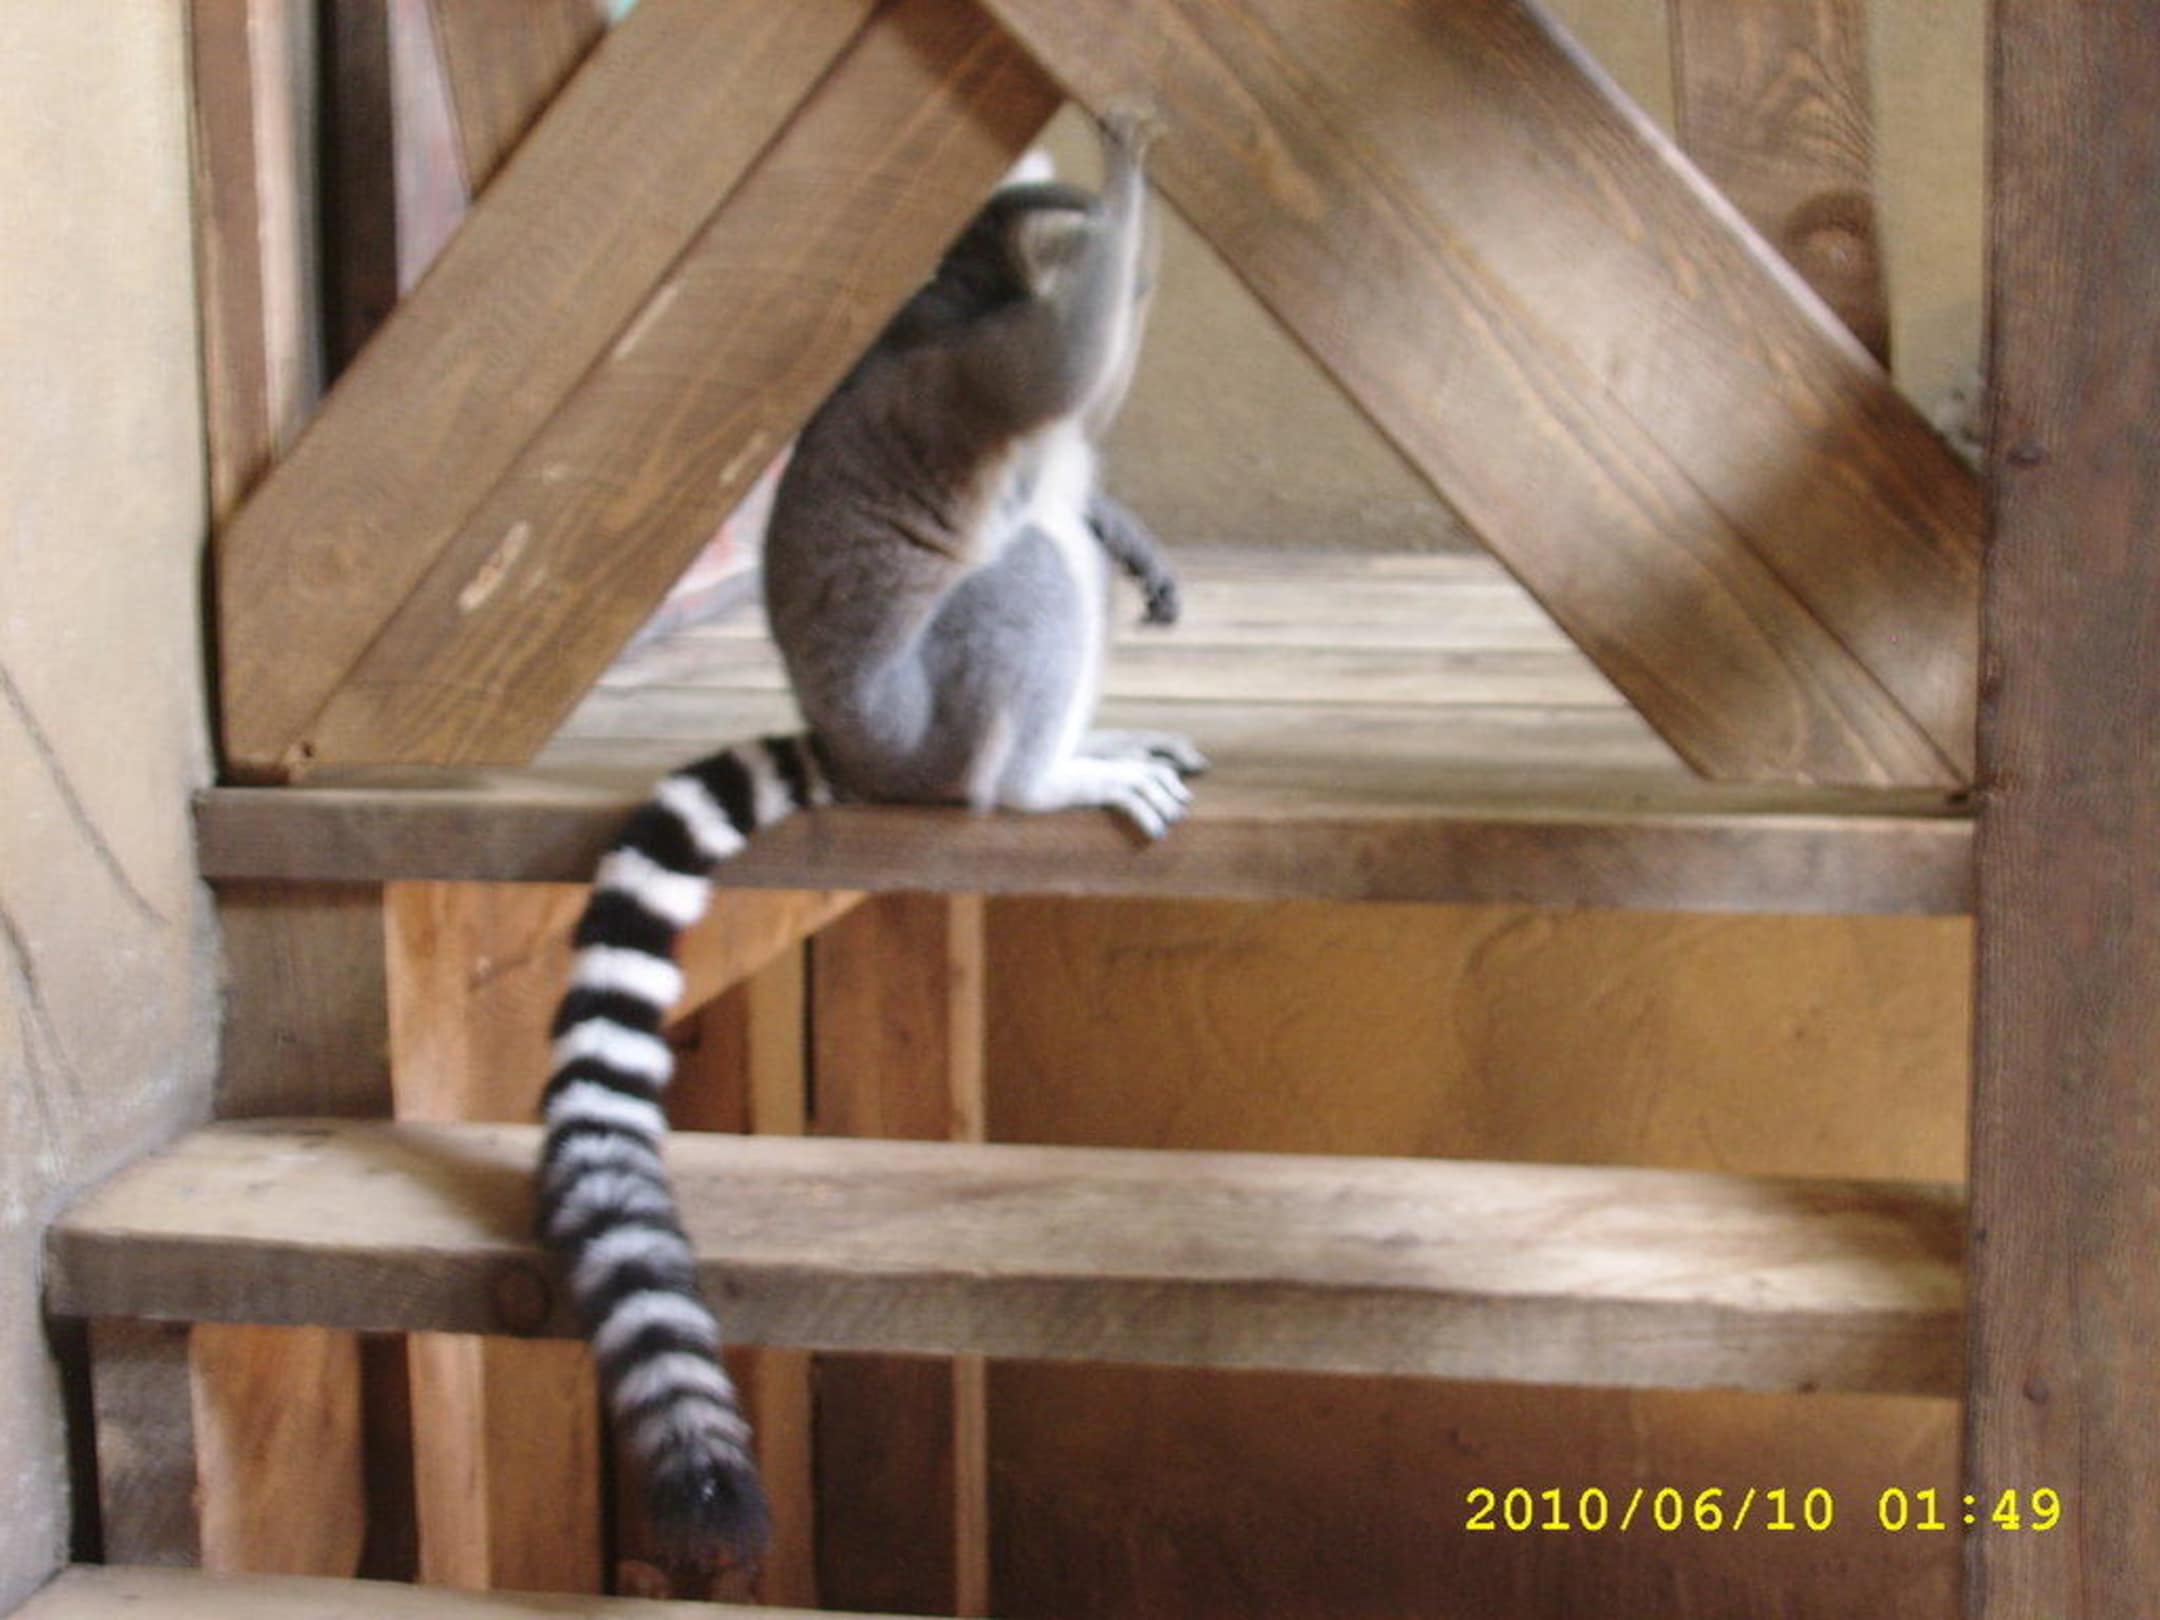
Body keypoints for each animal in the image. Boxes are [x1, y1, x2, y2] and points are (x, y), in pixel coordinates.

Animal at [532, 108, 1199, 1571]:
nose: (1134, 274)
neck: (965, 285)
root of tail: (856, 743)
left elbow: (1084, 430)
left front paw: (1138, 529)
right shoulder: (973, 367)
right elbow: (1061, 371)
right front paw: (1136, 164)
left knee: (1051, 526)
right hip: (929, 720)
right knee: (1026, 570)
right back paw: (1040, 782)